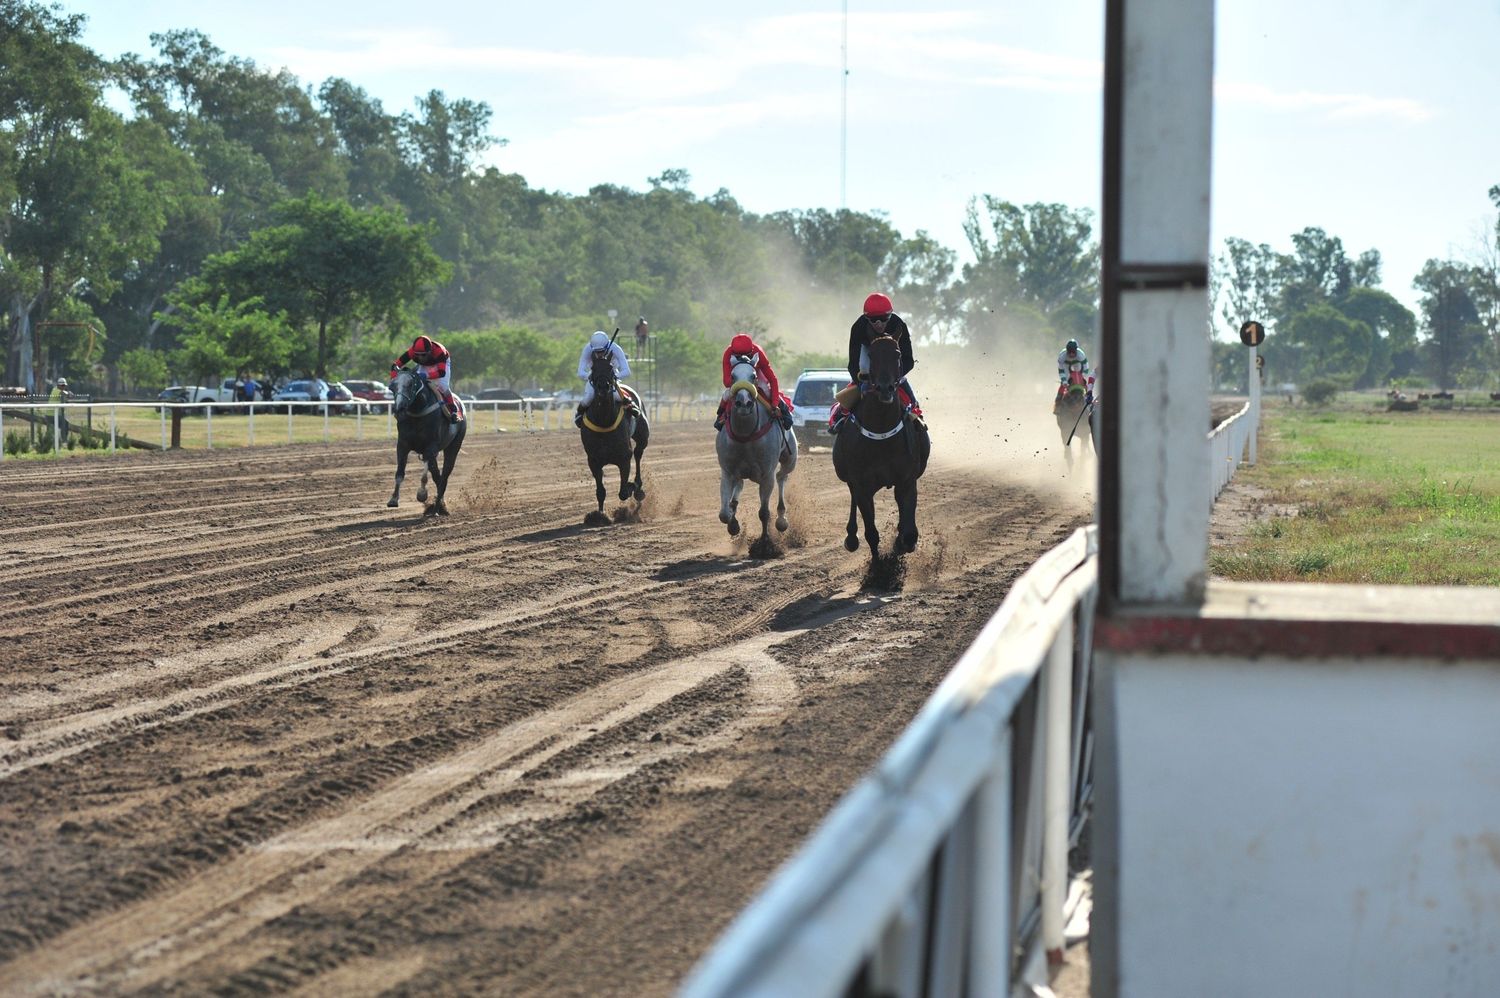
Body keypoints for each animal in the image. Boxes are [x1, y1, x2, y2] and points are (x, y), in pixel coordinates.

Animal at [387, 369, 462, 516]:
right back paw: (439, 506)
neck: (418, 412)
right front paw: (393, 499)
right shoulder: (402, 445)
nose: (399, 408)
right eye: (392, 386)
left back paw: (437, 509)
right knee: (438, 477)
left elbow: (424, 476)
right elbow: (399, 473)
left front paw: (422, 494)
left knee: (444, 476)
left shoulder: (430, 447)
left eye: (410, 384)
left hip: (453, 446)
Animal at [576, 342, 648, 513]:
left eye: (610, 368)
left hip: (643, 436)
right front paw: (600, 514)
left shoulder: (624, 457)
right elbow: (600, 492)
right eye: (593, 368)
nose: (603, 386)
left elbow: (623, 492)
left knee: (638, 453)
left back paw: (638, 487)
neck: (604, 421)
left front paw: (632, 487)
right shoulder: (593, 460)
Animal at [714, 358, 798, 540]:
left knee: (782, 476)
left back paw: (781, 519)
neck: (746, 435)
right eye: (732, 376)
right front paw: (733, 524)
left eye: (753, 376)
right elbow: (724, 513)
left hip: (790, 458)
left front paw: (765, 541)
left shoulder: (767, 474)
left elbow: (764, 512)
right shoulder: (727, 470)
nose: (744, 403)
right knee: (739, 485)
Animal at [834, 333, 924, 552]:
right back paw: (851, 537)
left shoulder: (907, 481)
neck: (882, 435)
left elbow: (909, 533)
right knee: (852, 495)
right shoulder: (862, 486)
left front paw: (901, 544)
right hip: (849, 477)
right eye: (871, 355)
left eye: (897, 353)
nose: (885, 388)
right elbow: (872, 534)